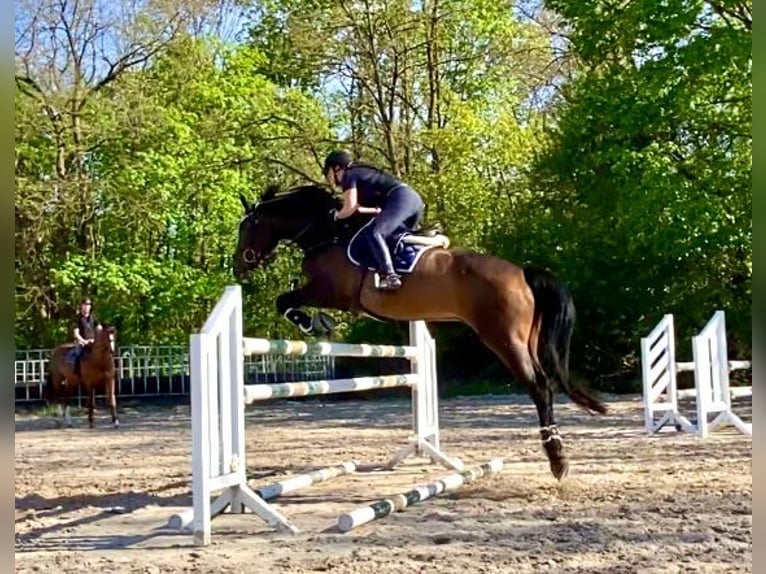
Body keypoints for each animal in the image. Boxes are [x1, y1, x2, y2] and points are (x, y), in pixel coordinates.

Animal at [231, 184, 608, 482]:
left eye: (247, 227)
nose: (237, 266)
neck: (328, 232)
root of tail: (522, 273)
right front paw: (317, 322)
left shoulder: (329, 291)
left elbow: (285, 300)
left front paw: (313, 323)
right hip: (525, 340)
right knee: (546, 381)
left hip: (504, 340)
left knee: (539, 386)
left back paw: (557, 458)